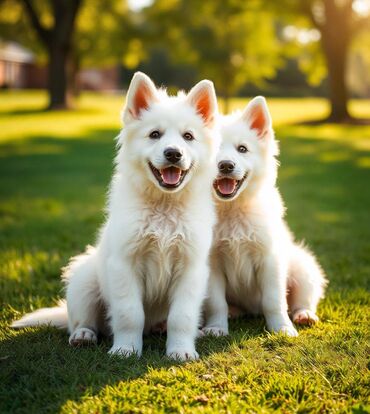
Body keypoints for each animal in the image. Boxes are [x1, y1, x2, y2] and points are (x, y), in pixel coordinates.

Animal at [12, 71, 220, 360]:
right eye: (154, 135)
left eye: (188, 136)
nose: (173, 153)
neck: (164, 207)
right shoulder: (125, 265)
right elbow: (129, 314)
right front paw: (126, 349)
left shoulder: (191, 269)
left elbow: (182, 315)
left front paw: (180, 350)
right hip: (84, 281)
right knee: (83, 321)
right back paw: (83, 335)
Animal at [202, 98, 326, 338]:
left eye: (242, 149)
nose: (226, 166)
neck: (232, 210)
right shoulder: (211, 264)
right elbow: (216, 302)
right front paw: (216, 328)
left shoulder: (270, 260)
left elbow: (274, 301)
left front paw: (282, 328)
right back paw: (233, 312)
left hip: (302, 265)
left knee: (303, 298)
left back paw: (304, 315)